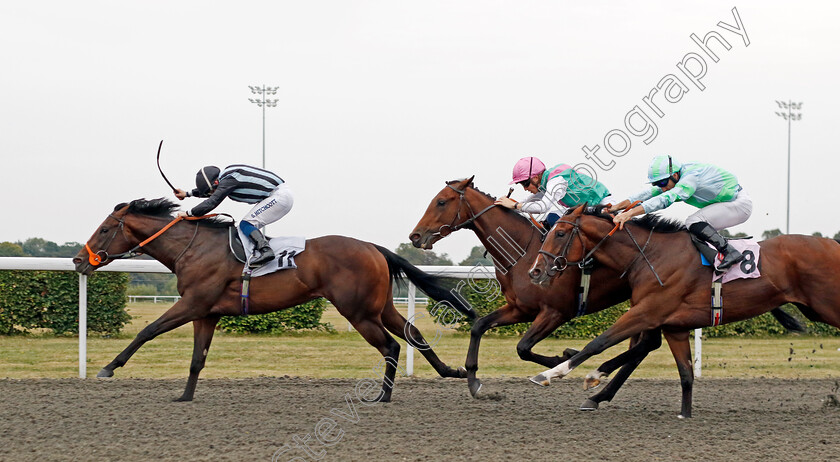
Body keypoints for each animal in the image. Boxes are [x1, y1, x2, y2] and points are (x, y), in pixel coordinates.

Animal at [72, 199, 472, 400]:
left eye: (104, 229)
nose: (78, 261)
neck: (194, 248)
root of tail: (371, 246)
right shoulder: (206, 313)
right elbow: (197, 359)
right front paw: (184, 396)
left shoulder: (192, 304)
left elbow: (147, 332)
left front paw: (108, 367)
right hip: (379, 306)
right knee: (412, 334)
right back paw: (450, 371)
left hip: (358, 312)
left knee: (391, 345)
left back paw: (382, 397)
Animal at [528, 205, 836, 416]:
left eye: (560, 233)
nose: (535, 272)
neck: (650, 255)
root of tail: (834, 244)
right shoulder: (672, 325)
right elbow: (684, 372)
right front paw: (684, 413)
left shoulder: (646, 312)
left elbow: (598, 343)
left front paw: (552, 374)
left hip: (828, 305)